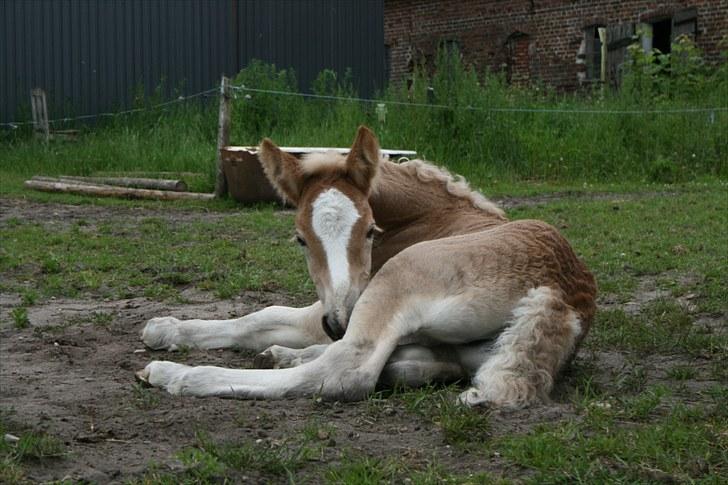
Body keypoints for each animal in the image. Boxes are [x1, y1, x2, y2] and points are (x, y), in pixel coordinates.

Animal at [139, 125, 596, 408]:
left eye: (371, 231)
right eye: (300, 239)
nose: (338, 321)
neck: (424, 217)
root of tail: (563, 293)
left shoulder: (339, 304)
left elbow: (260, 316)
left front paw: (165, 335)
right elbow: (262, 320)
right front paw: (169, 330)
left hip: (397, 278)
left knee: (347, 369)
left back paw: (180, 375)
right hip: (467, 346)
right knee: (424, 361)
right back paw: (288, 356)